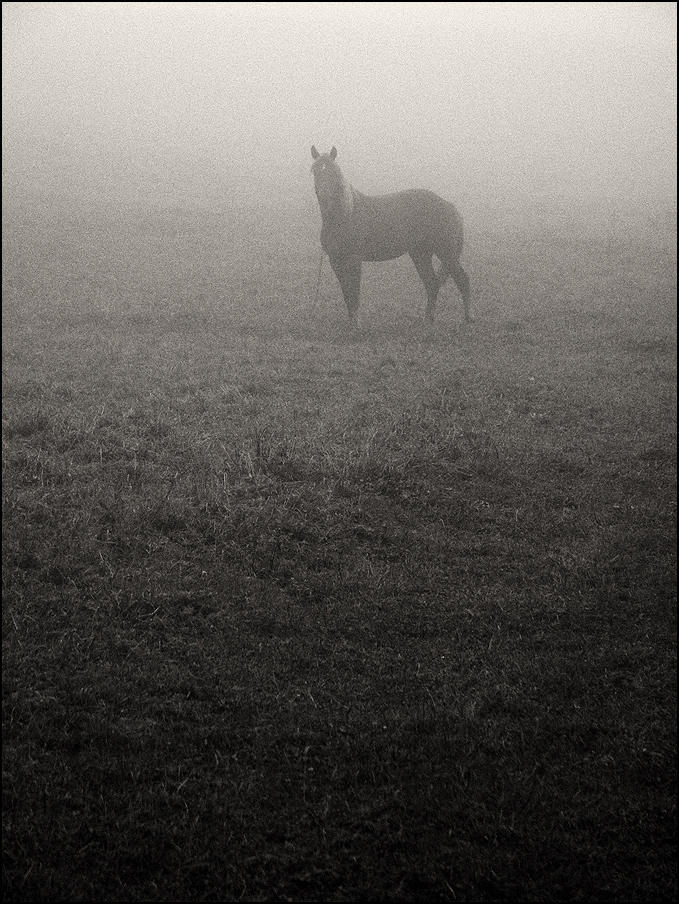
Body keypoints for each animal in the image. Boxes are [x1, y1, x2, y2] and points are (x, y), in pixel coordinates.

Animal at [310, 148, 470, 328]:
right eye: (315, 170)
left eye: (333, 172)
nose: (324, 197)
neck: (347, 214)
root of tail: (450, 206)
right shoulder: (335, 261)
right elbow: (346, 294)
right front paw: (351, 323)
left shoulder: (354, 260)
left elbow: (355, 293)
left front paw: (356, 325)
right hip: (421, 254)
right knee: (432, 284)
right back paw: (427, 320)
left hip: (446, 254)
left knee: (462, 280)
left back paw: (468, 319)